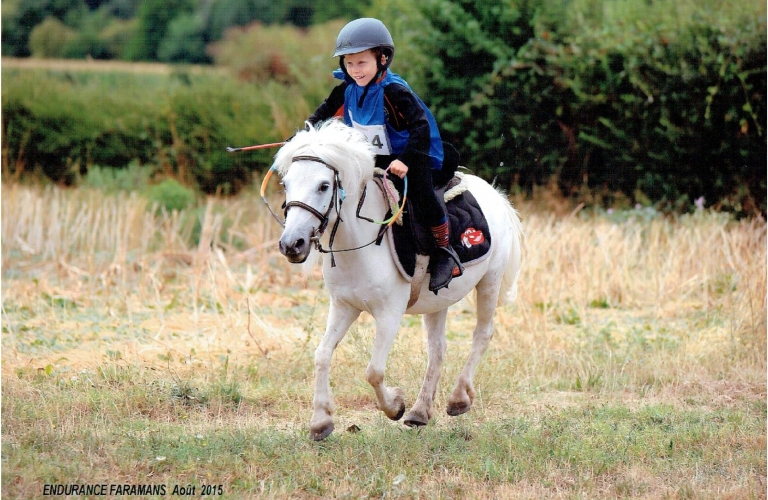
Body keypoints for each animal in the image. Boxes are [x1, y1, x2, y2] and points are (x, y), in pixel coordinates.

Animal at [268, 119, 520, 440]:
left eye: (323, 186)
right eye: (286, 184)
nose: (292, 244)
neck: (359, 244)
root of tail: (495, 195)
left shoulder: (389, 313)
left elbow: (373, 370)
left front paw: (395, 406)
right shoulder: (344, 306)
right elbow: (322, 354)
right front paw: (321, 421)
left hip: (490, 281)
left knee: (482, 334)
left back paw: (458, 398)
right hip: (438, 301)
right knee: (438, 349)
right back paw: (420, 412)